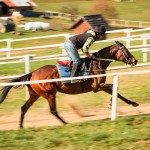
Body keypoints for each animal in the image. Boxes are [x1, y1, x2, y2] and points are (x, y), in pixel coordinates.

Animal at [0, 40, 138, 127]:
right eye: (126, 51)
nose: (135, 61)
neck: (97, 63)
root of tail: (32, 73)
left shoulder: (101, 87)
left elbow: (117, 92)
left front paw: (133, 103)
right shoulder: (97, 87)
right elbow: (114, 87)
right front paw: (110, 104)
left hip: (35, 95)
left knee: (24, 108)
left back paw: (21, 127)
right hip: (49, 94)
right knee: (53, 111)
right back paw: (66, 124)